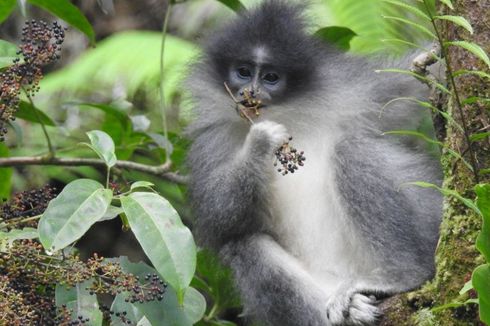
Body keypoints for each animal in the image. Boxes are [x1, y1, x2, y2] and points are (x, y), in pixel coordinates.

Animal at [185, 1, 444, 324]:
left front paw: (436, 51)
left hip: (432, 217)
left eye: (271, 77)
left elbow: (410, 88)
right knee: (244, 244)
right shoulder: (210, 142)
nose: (251, 94)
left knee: (351, 150)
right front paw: (260, 143)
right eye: (243, 72)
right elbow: (217, 215)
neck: (287, 113)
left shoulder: (353, 91)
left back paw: (401, 277)